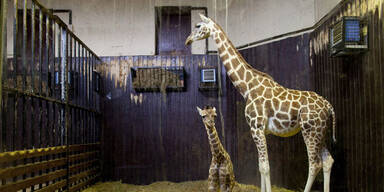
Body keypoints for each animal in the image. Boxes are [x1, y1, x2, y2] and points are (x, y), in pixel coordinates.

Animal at [186, 13, 336, 192]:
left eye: (198, 25)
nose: (187, 40)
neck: (247, 87)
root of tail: (329, 106)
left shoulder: (256, 127)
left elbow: (265, 166)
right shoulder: (260, 130)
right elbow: (260, 165)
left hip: (310, 130)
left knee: (315, 164)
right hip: (321, 132)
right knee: (328, 160)